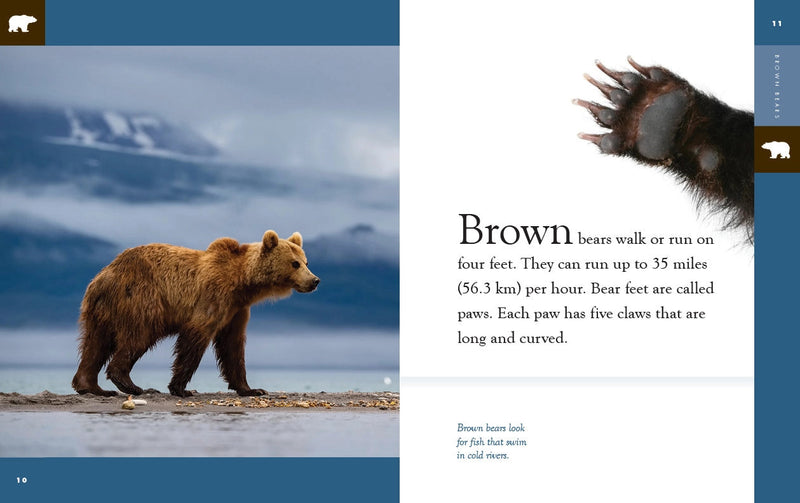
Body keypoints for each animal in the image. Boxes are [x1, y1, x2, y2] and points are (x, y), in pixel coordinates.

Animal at [71, 230, 320, 397]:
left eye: (306, 261)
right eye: (295, 263)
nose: (315, 280)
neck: (242, 282)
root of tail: (106, 274)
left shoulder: (236, 310)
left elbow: (233, 346)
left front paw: (251, 389)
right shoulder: (214, 296)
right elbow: (196, 337)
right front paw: (180, 388)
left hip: (100, 310)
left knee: (95, 343)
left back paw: (91, 387)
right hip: (141, 298)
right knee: (137, 337)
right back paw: (132, 384)